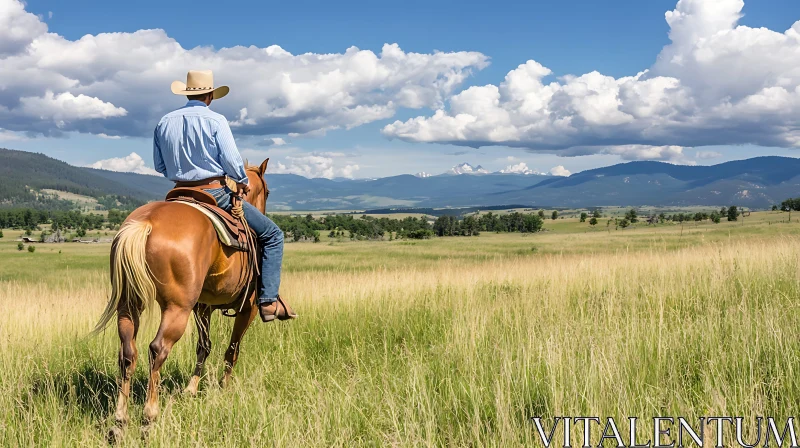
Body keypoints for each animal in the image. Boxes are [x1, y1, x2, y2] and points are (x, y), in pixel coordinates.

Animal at [95, 158, 270, 428]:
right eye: (268, 192)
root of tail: (147, 223)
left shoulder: (203, 307)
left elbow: (204, 346)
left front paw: (191, 389)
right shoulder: (247, 308)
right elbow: (232, 350)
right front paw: (224, 388)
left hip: (129, 303)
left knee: (127, 351)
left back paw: (121, 418)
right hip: (178, 308)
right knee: (157, 349)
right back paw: (149, 414)